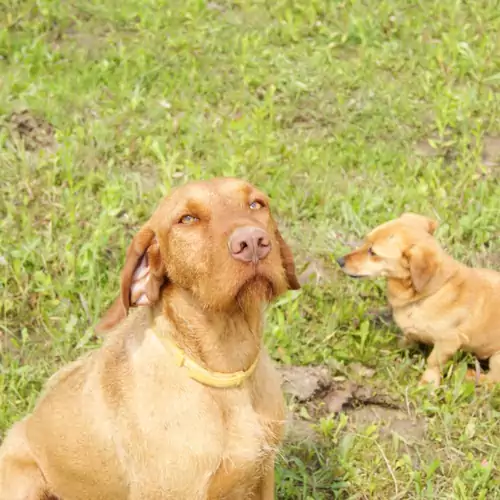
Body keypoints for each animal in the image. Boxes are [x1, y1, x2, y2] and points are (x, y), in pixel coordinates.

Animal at [336, 213, 500, 384]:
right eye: (366, 241)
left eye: (373, 252)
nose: (339, 261)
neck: (429, 293)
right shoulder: (411, 333)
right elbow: (406, 341)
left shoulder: (448, 342)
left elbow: (433, 363)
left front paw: (428, 383)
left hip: (497, 359)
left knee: (492, 380)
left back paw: (470, 375)